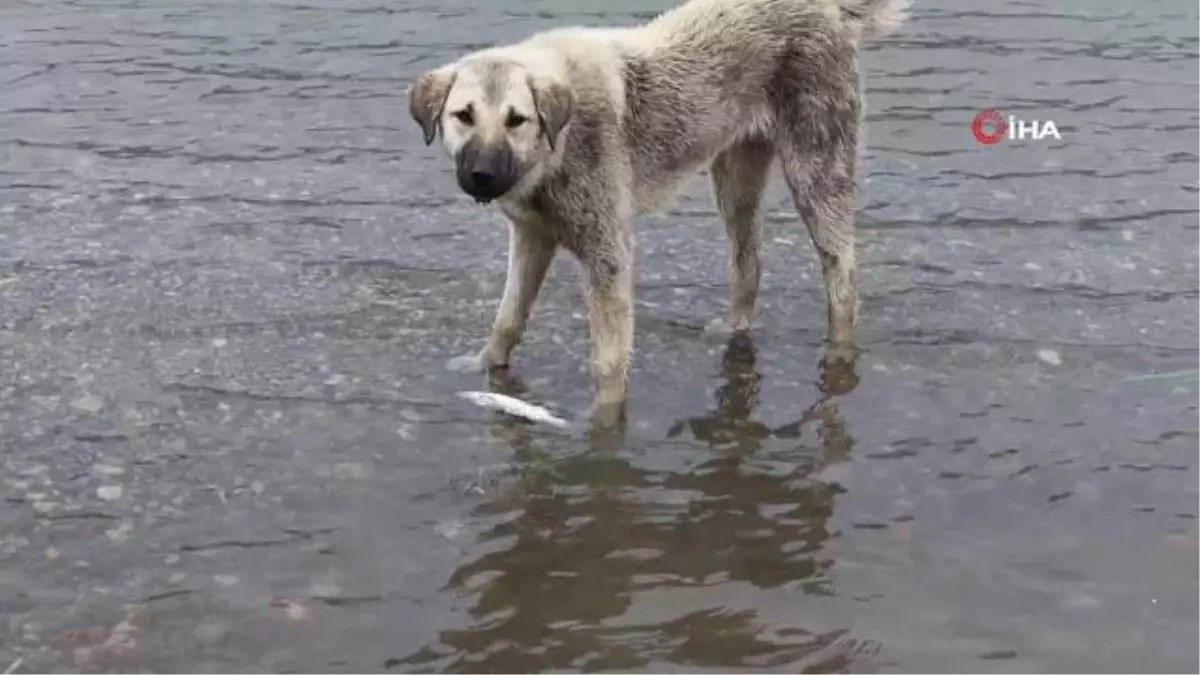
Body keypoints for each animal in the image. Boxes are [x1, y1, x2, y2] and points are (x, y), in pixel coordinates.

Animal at [408, 0, 912, 427]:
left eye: (517, 120)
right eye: (463, 115)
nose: (482, 175)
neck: (556, 145)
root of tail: (827, 8)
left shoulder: (608, 254)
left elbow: (608, 360)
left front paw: (603, 425)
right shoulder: (532, 238)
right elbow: (508, 317)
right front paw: (484, 365)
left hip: (817, 174)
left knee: (842, 276)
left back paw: (839, 351)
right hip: (734, 180)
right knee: (748, 261)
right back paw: (734, 326)